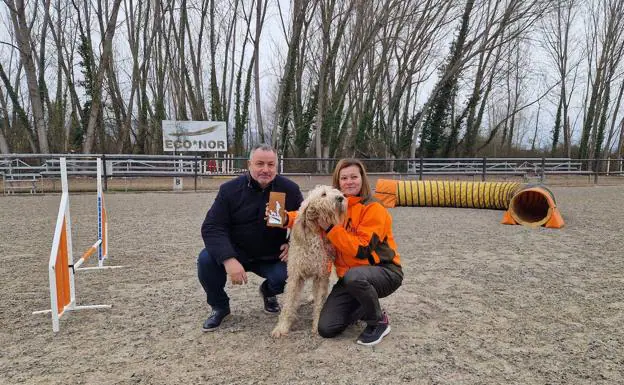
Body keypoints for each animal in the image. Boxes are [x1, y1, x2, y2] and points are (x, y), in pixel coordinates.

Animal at [272, 184, 346, 334]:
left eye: (335, 191)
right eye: (323, 194)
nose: (341, 198)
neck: (315, 233)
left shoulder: (321, 275)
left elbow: (319, 304)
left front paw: (316, 325)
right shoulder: (295, 275)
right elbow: (289, 303)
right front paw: (282, 327)